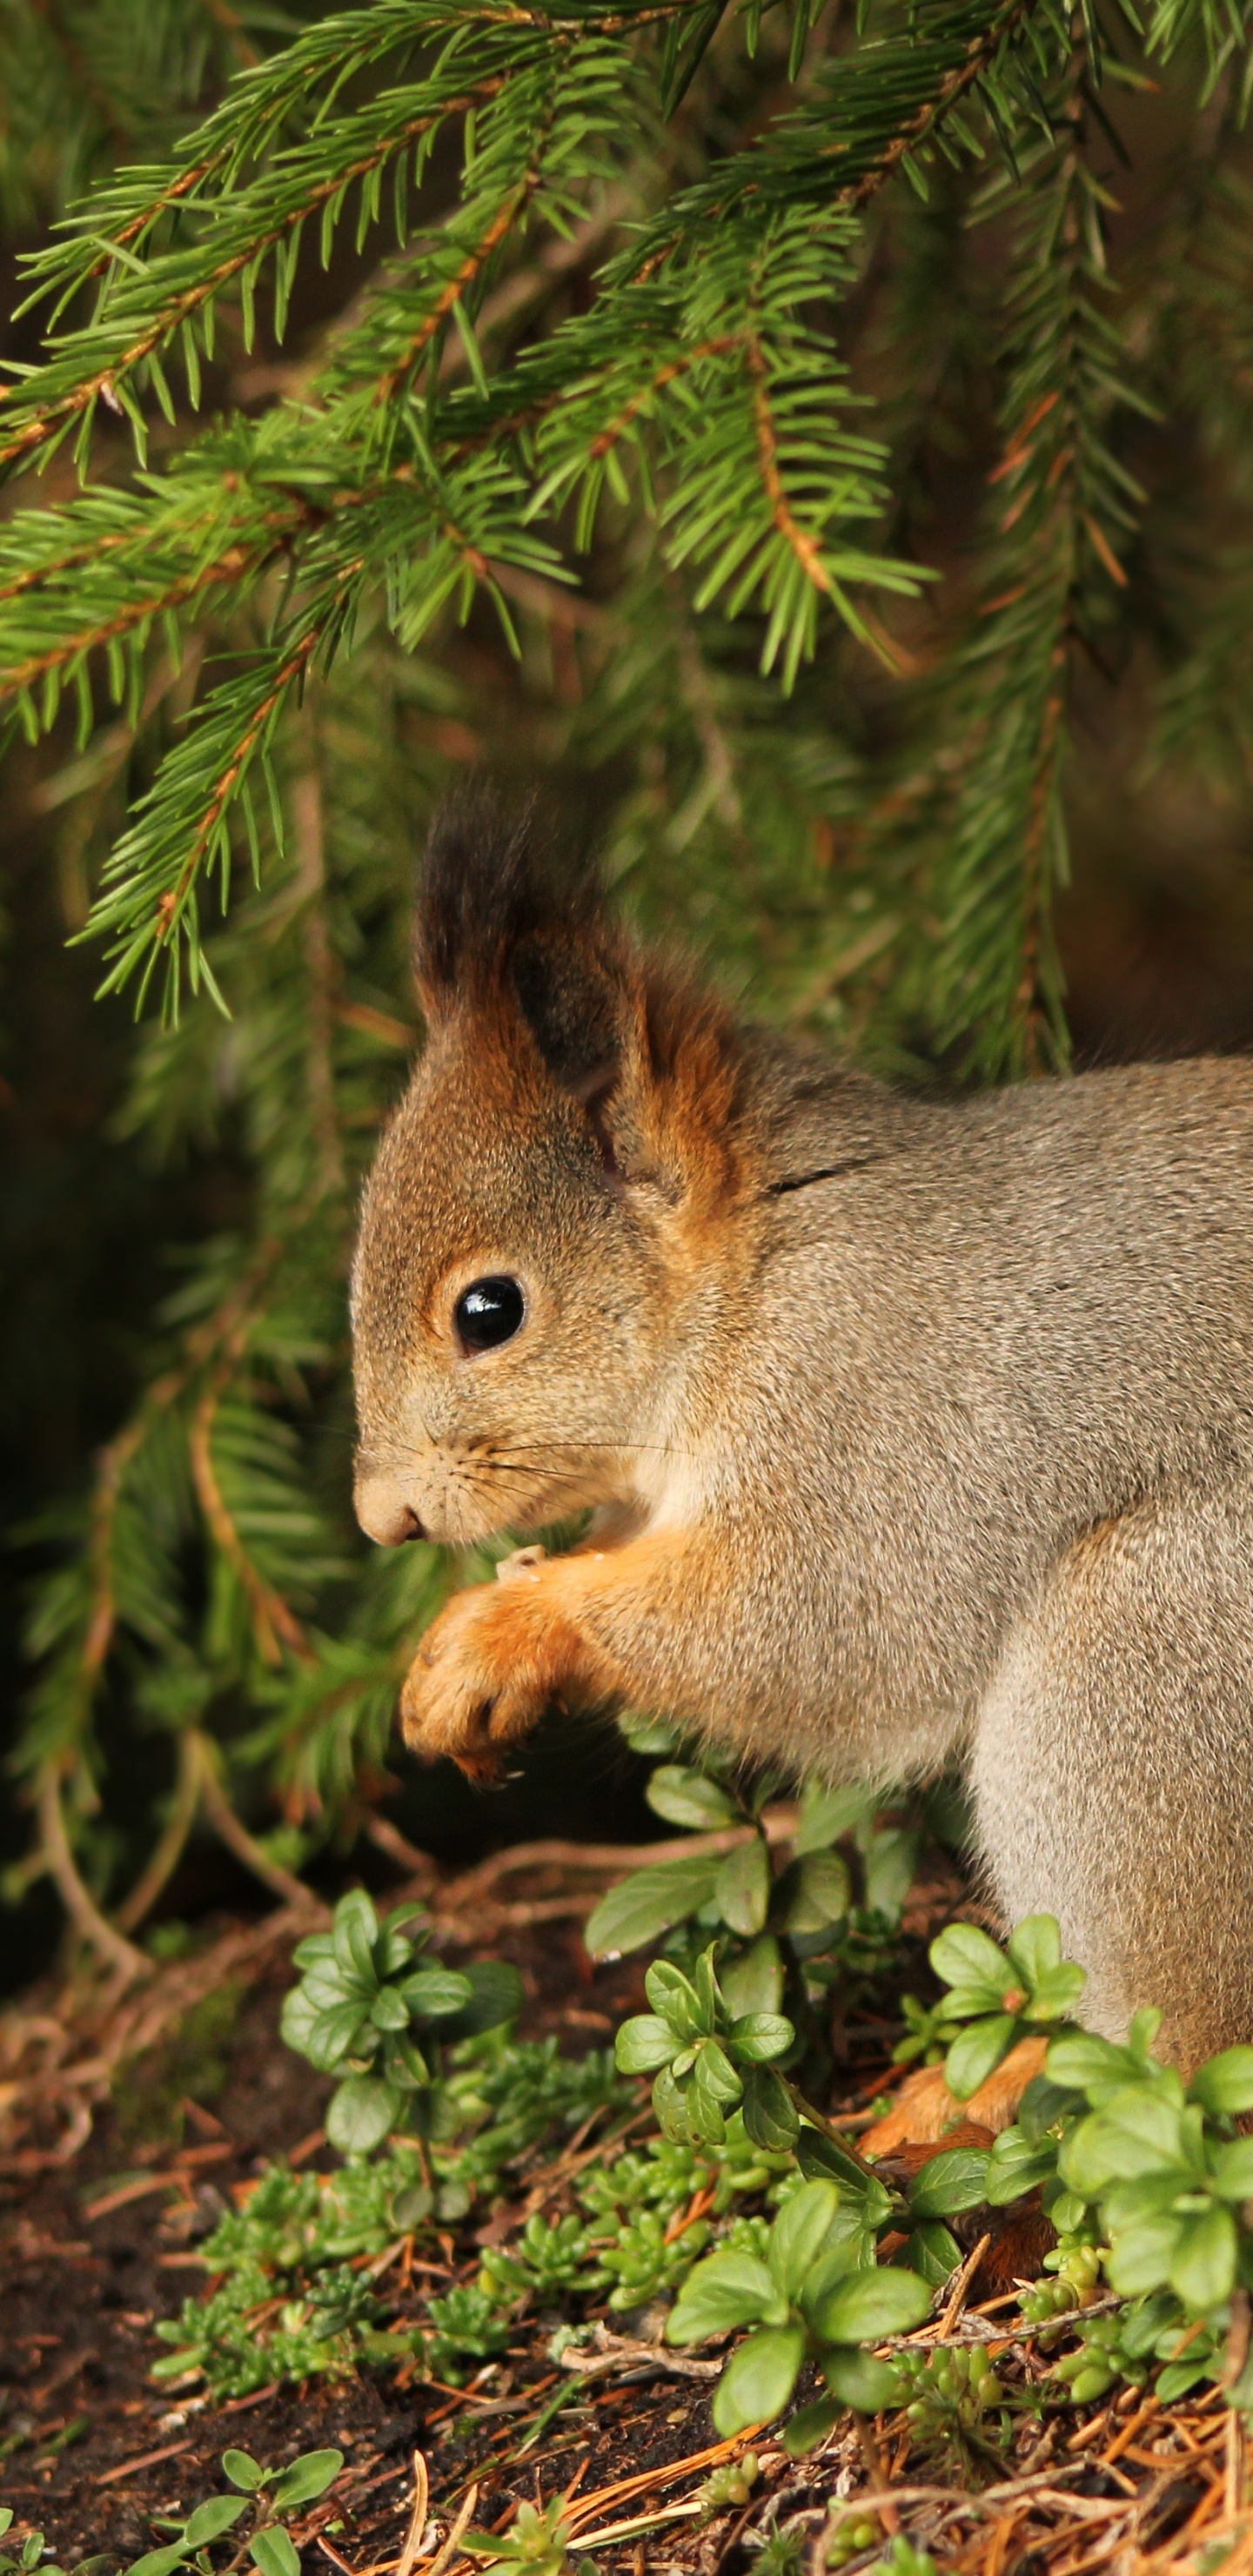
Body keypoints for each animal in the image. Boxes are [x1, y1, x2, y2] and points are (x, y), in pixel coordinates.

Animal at [352, 790, 1253, 2070]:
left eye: (490, 1310)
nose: (382, 1517)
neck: (763, 1273)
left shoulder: (880, 1420)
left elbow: (815, 1626)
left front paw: (507, 1633)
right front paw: (451, 1663)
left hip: (1149, 1661)